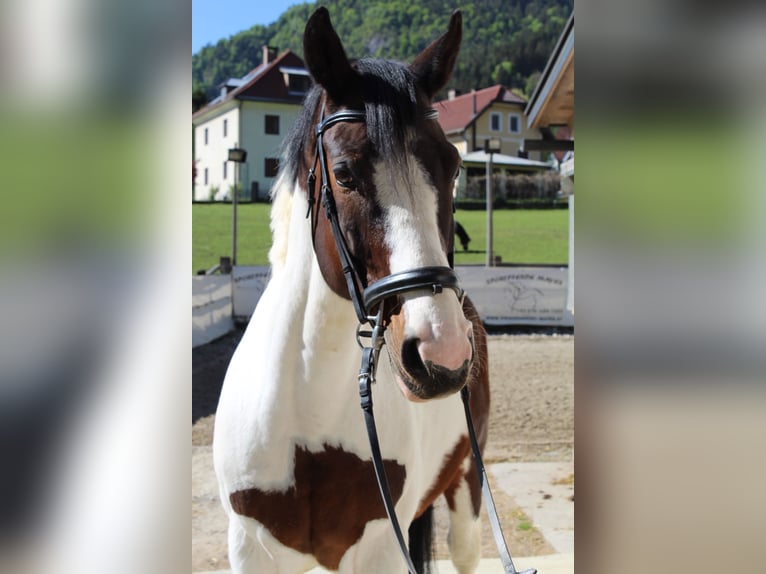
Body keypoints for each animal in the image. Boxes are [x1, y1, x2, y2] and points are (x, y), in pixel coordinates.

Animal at [213, 8, 490, 573]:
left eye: (453, 167)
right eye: (343, 174)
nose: (443, 352)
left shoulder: (383, 548)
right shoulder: (250, 547)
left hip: (467, 487)